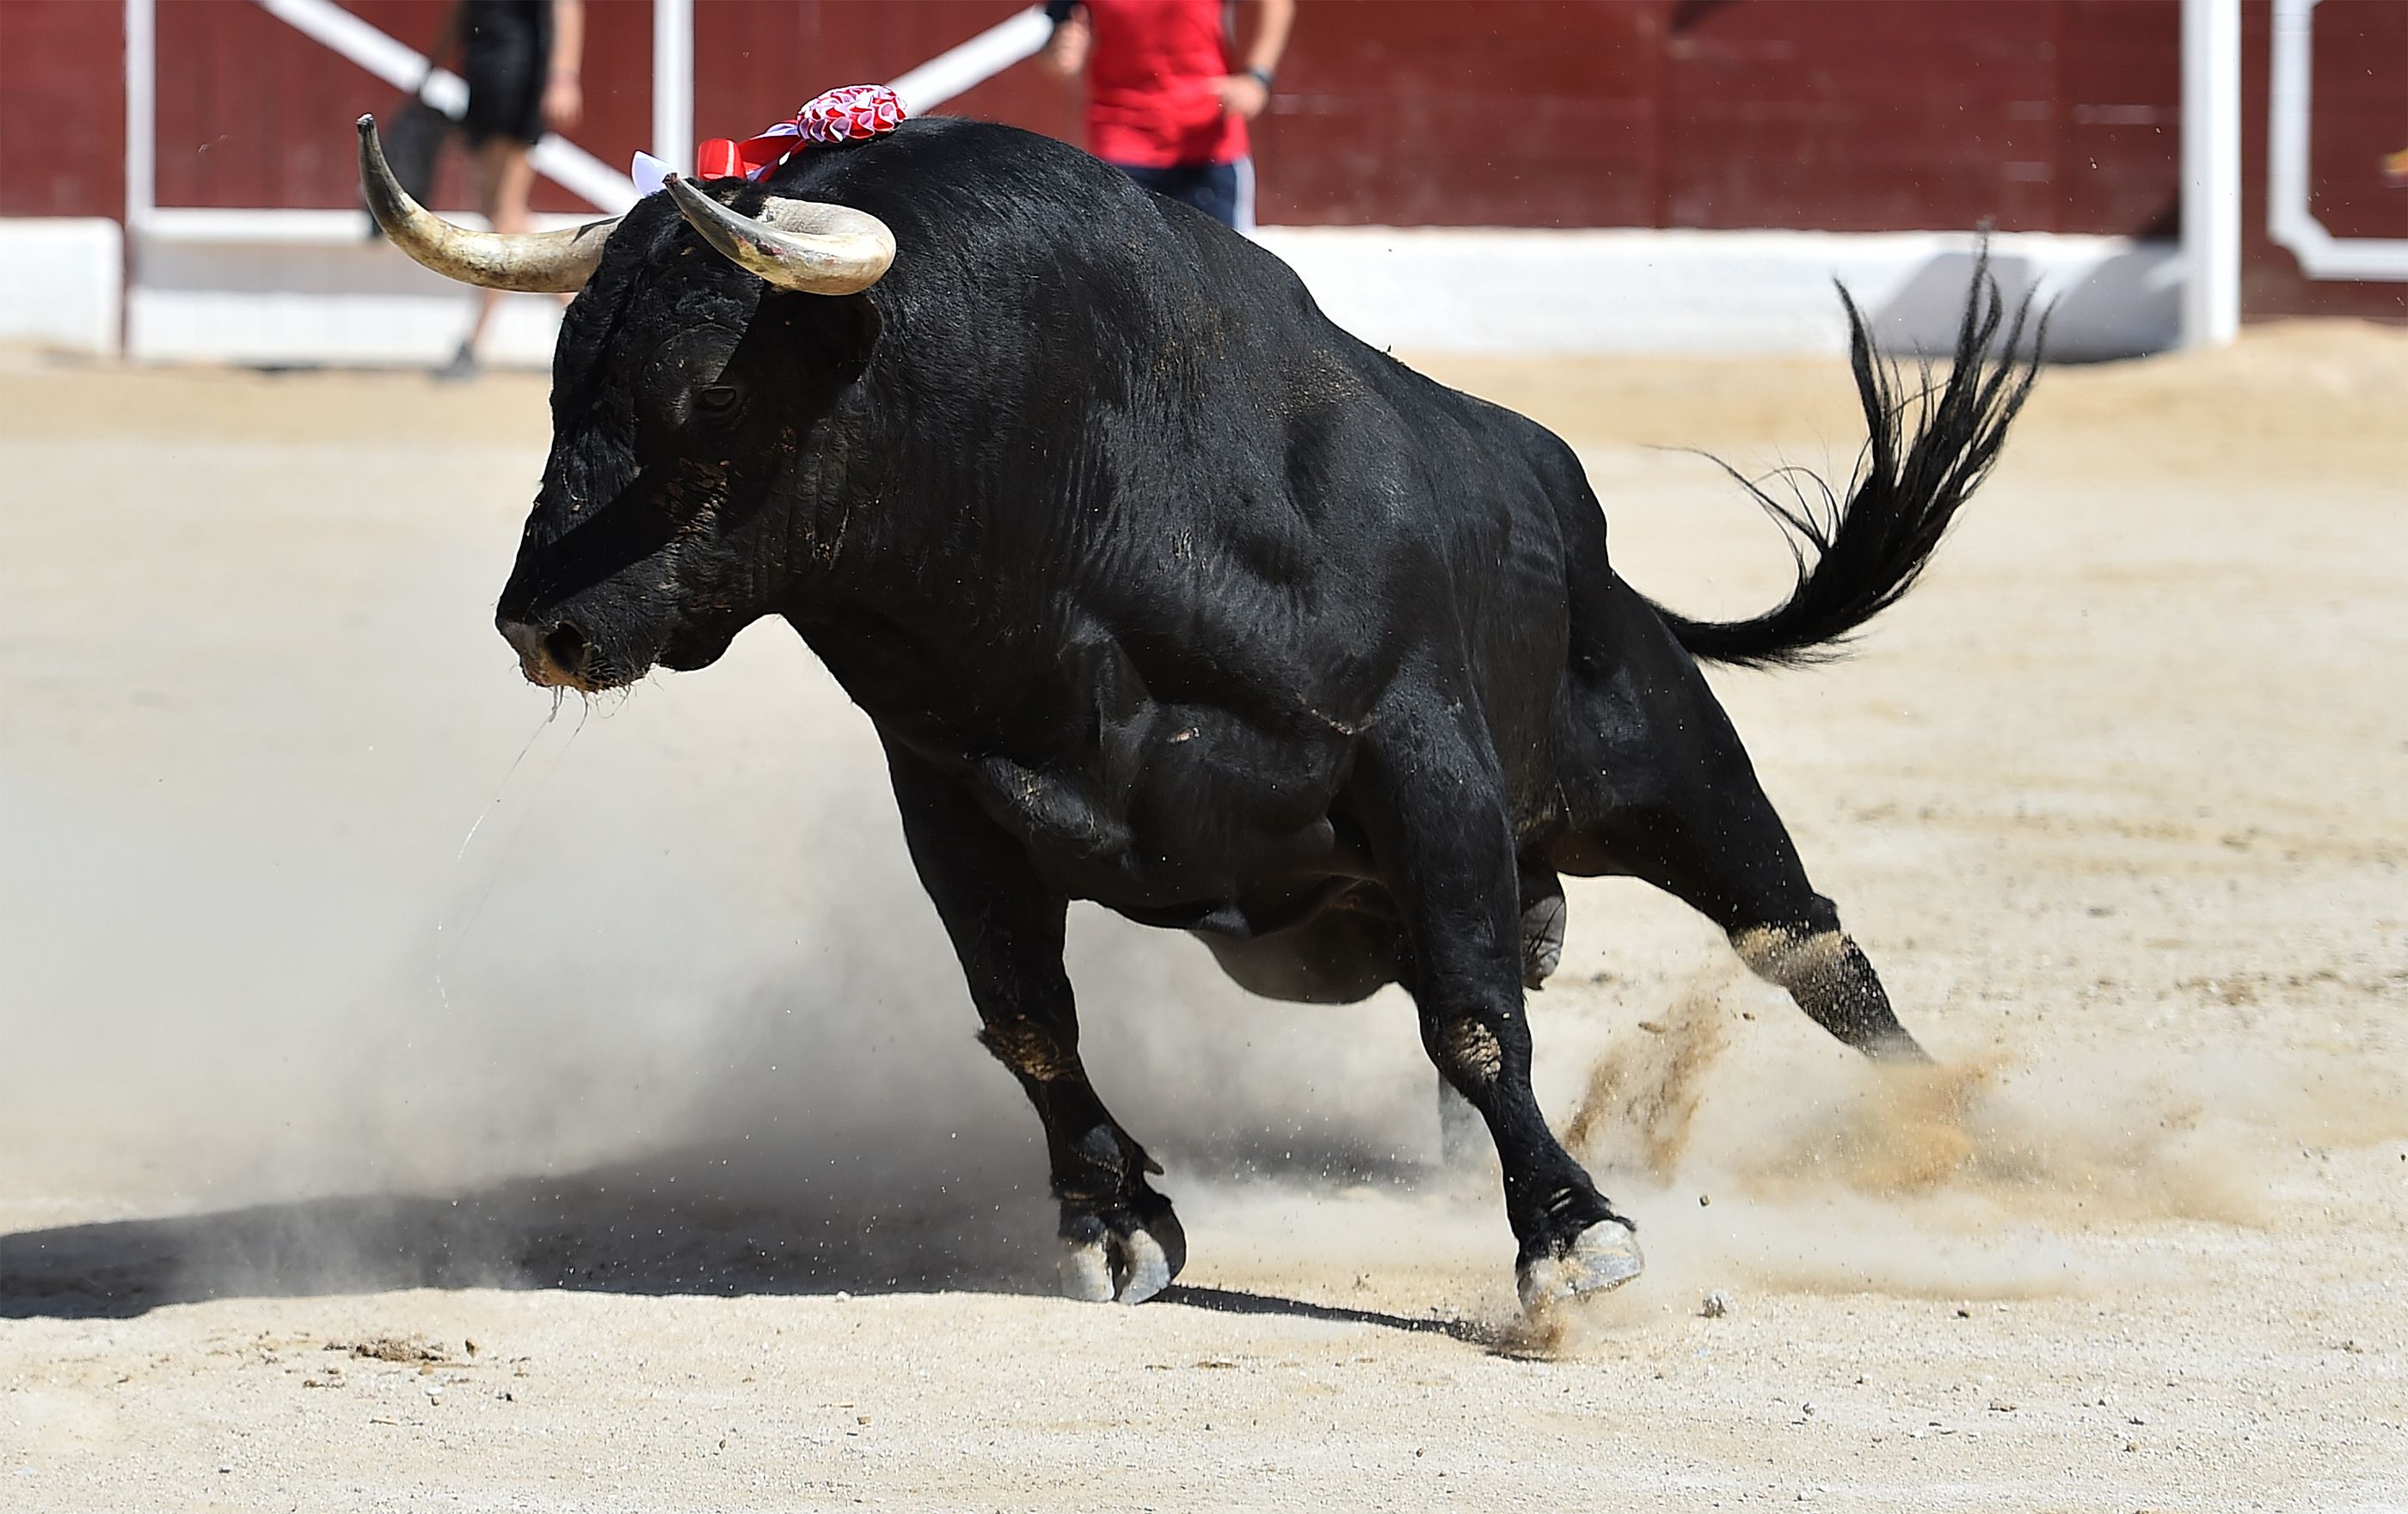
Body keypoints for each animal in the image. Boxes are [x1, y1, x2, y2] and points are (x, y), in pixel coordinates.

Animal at [361, 112, 2032, 1309]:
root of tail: (1567, 505)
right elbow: (1030, 1022)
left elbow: (1478, 1020)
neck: (1071, 517)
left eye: (708, 388)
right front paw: (1117, 1219)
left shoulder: (1421, 760)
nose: (543, 622)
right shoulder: (949, 801)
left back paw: (1960, 1133)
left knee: (1799, 943)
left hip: (1663, 766)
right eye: (565, 379)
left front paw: (1573, 1237)